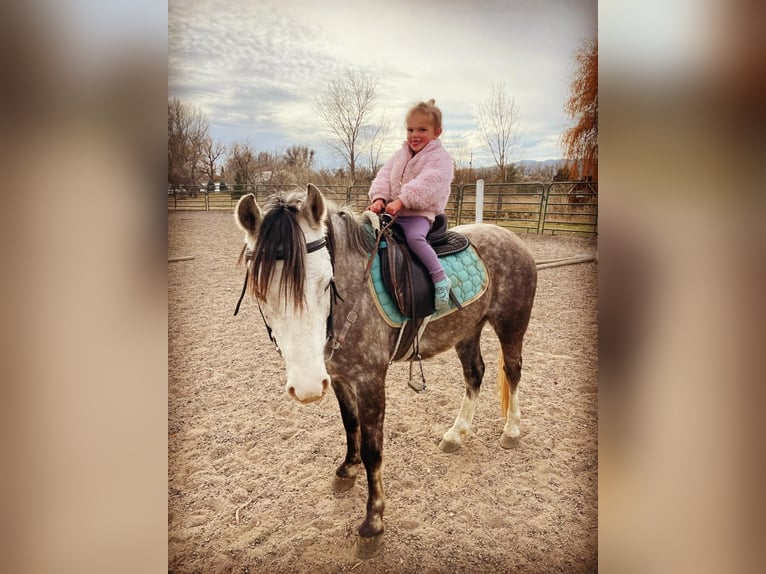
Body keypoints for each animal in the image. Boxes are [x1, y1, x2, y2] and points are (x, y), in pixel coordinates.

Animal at [234, 184, 537, 558]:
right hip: (467, 328)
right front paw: (346, 471)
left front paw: (373, 524)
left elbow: (372, 450)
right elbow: (350, 427)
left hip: (511, 325)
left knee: (513, 370)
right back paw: (456, 434)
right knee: (474, 374)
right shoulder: (338, 376)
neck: (354, 295)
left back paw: (511, 430)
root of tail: (511, 237)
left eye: (326, 282)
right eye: (260, 291)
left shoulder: (369, 380)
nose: (306, 387)